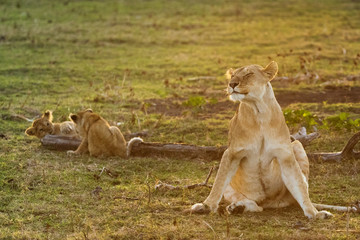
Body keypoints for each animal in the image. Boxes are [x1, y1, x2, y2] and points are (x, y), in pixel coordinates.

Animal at [190, 61, 334, 218]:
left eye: (248, 74)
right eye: (233, 76)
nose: (232, 84)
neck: (259, 112)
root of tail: (268, 203)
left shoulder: (285, 155)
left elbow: (299, 186)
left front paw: (314, 213)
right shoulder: (232, 153)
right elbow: (218, 183)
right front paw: (206, 206)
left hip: (297, 144)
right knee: (256, 206)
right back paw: (237, 207)